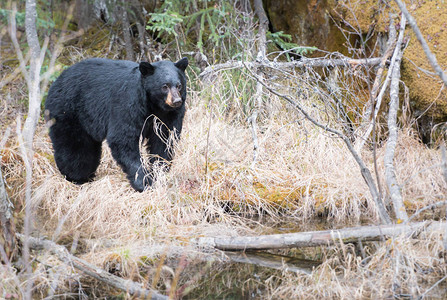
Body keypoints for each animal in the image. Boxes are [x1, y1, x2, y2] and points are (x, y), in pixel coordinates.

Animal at [43, 57, 187, 191]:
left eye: (179, 85)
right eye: (165, 86)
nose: (177, 101)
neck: (154, 105)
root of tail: (56, 82)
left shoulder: (167, 116)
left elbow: (164, 140)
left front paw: (159, 173)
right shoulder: (128, 105)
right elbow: (123, 139)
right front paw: (144, 182)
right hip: (69, 112)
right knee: (74, 148)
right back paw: (77, 178)